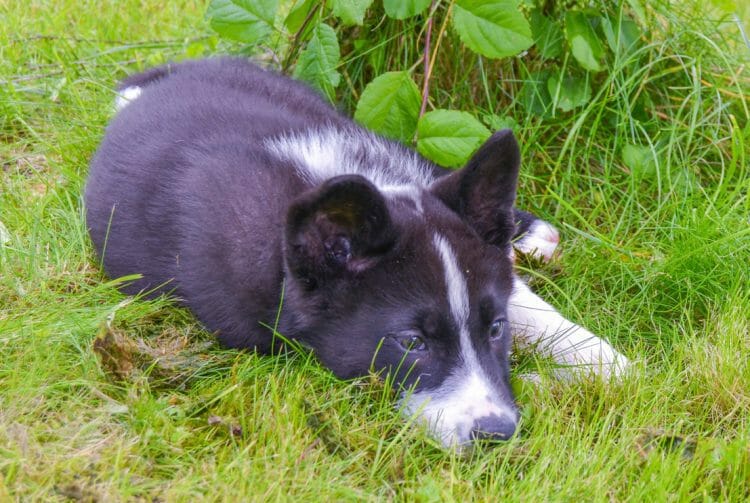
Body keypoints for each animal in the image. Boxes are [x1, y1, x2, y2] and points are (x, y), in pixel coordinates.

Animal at [85, 59, 632, 448]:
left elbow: (534, 308)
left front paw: (598, 365)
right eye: (411, 344)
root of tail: (173, 73)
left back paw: (531, 234)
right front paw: (552, 382)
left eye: (496, 330)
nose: (496, 434)